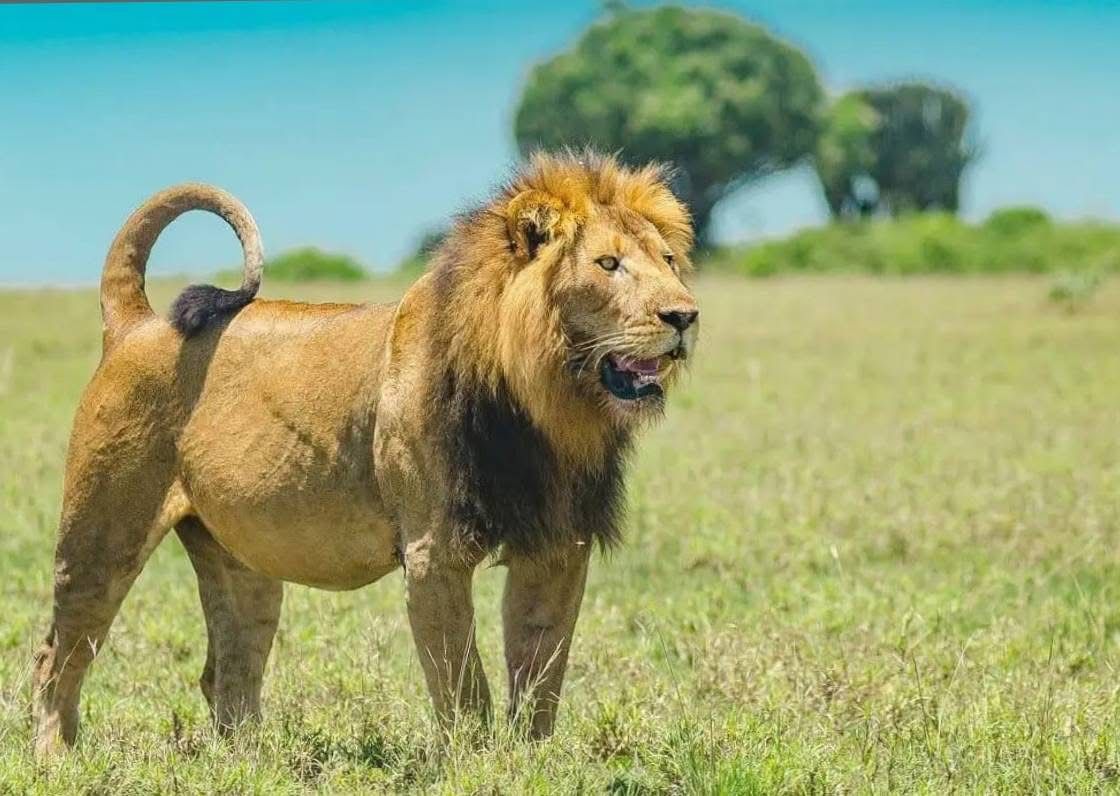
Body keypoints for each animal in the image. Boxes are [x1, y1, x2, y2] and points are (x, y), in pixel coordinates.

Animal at [31, 151, 699, 755]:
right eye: (608, 264)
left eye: (668, 261)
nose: (685, 315)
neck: (546, 405)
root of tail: (138, 323)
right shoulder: (433, 554)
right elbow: (464, 686)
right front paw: (477, 764)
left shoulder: (558, 545)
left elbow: (540, 674)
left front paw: (532, 763)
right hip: (102, 534)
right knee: (57, 656)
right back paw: (55, 757)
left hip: (239, 559)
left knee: (226, 670)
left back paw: (250, 763)